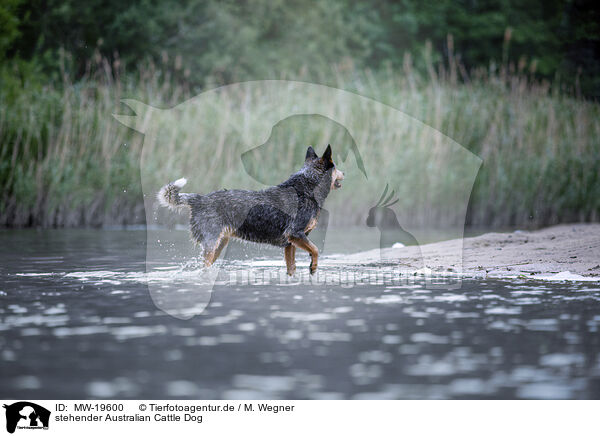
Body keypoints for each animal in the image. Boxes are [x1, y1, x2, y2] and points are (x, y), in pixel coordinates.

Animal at [157, 145, 344, 274]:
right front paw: (313, 268)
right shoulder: (295, 234)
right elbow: (316, 250)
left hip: (220, 243)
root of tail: (199, 199)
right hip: (211, 244)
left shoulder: (290, 243)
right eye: (335, 166)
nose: (345, 173)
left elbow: (292, 268)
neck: (306, 188)